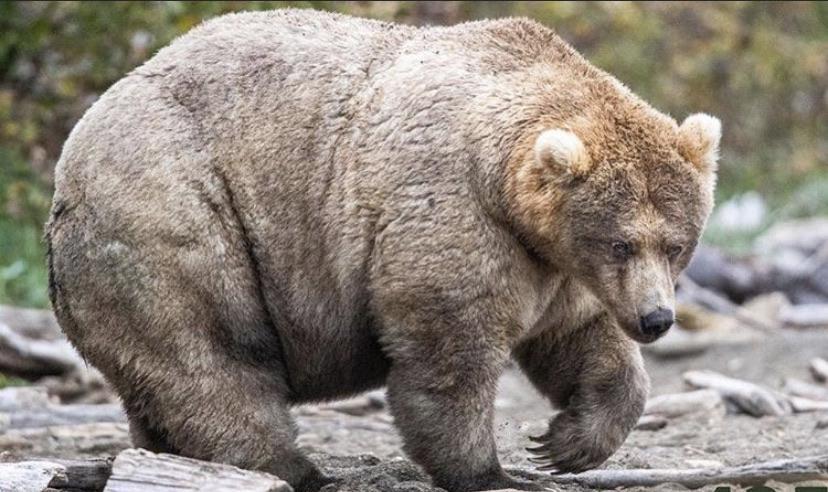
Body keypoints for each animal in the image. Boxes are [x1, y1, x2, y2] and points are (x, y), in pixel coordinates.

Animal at [45, 8, 720, 492]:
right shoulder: (453, 212)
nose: (656, 319)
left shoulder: (554, 265)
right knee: (211, 354)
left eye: (677, 244)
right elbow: (449, 350)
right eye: (621, 242)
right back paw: (295, 469)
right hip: (176, 212)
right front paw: (490, 472)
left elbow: (579, 338)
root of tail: (72, 154)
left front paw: (565, 444)